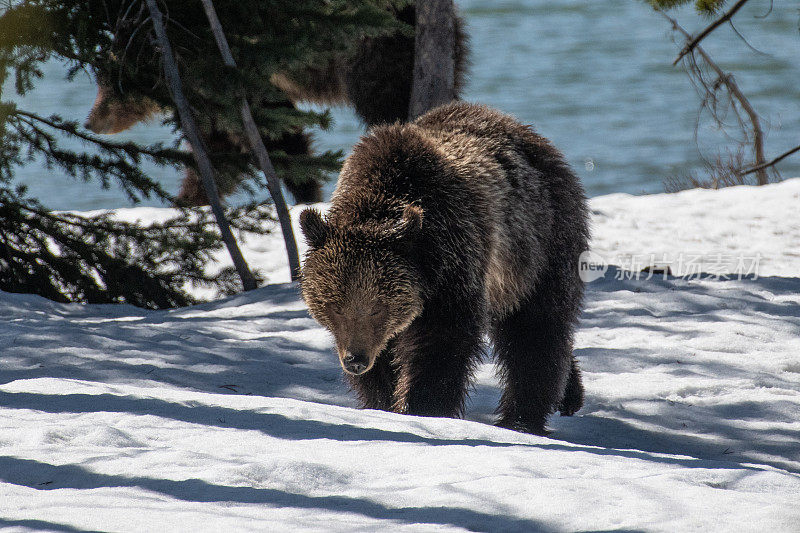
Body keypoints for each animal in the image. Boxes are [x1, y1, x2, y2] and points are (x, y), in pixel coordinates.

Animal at [84, 4, 468, 208]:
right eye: (100, 80)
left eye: (111, 85)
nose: (90, 121)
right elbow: (219, 152)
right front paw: (192, 201)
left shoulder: (239, 73)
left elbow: (277, 137)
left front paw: (306, 193)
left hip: (373, 47)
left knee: (386, 102)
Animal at [300, 102, 588, 434]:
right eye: (333, 306)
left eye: (376, 308)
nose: (355, 359)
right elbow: (384, 363)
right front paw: (383, 401)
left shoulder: (451, 261)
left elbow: (442, 343)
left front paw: (423, 407)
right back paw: (570, 394)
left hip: (538, 247)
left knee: (536, 332)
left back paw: (522, 418)